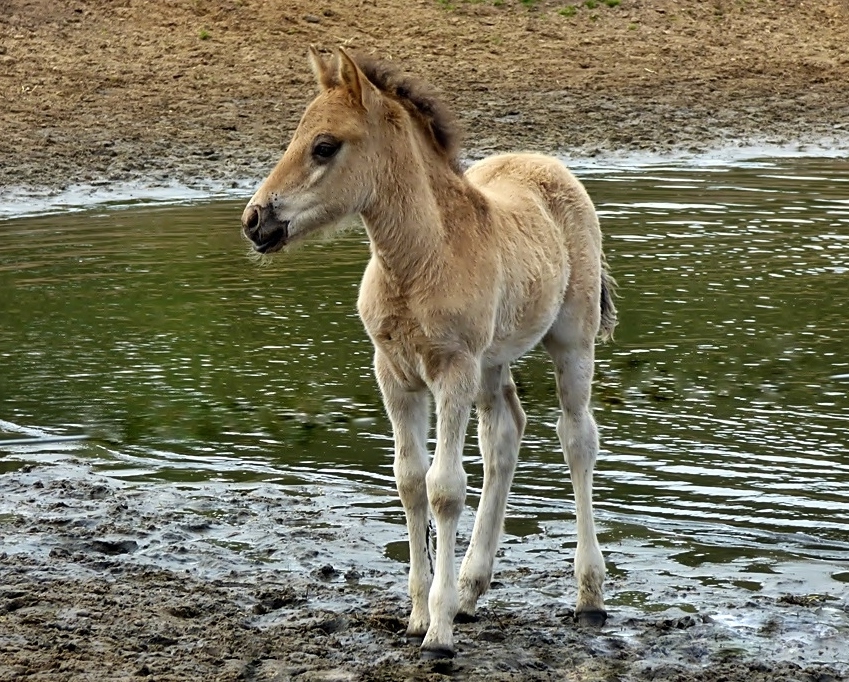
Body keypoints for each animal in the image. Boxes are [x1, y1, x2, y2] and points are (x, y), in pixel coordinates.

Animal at [238, 45, 616, 656]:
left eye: (325, 146)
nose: (255, 220)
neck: (417, 261)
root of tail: (547, 162)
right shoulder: (393, 373)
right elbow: (410, 481)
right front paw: (419, 613)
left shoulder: (451, 371)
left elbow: (444, 489)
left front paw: (437, 632)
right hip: (492, 361)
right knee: (505, 434)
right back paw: (471, 589)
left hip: (570, 342)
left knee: (576, 438)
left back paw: (588, 598)